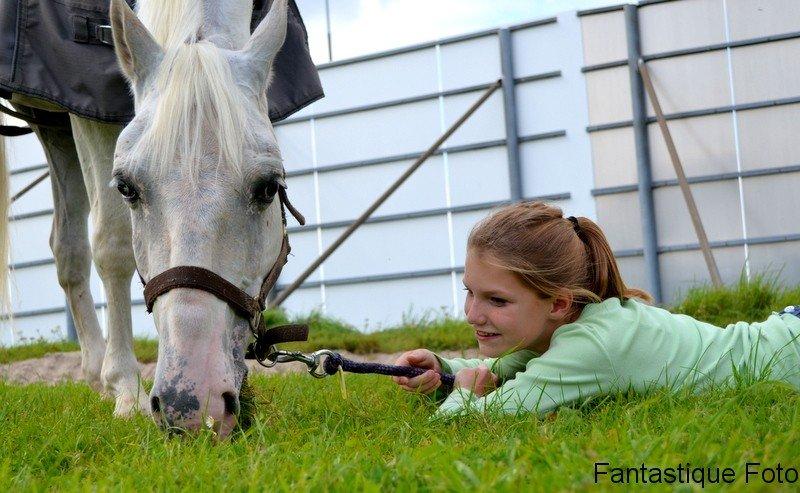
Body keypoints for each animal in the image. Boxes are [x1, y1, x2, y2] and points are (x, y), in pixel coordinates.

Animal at [1, 0, 296, 436]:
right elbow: (112, 245)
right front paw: (125, 387)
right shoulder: (86, 111)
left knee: (66, 246)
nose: (191, 406)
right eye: (126, 188)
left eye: (268, 188)